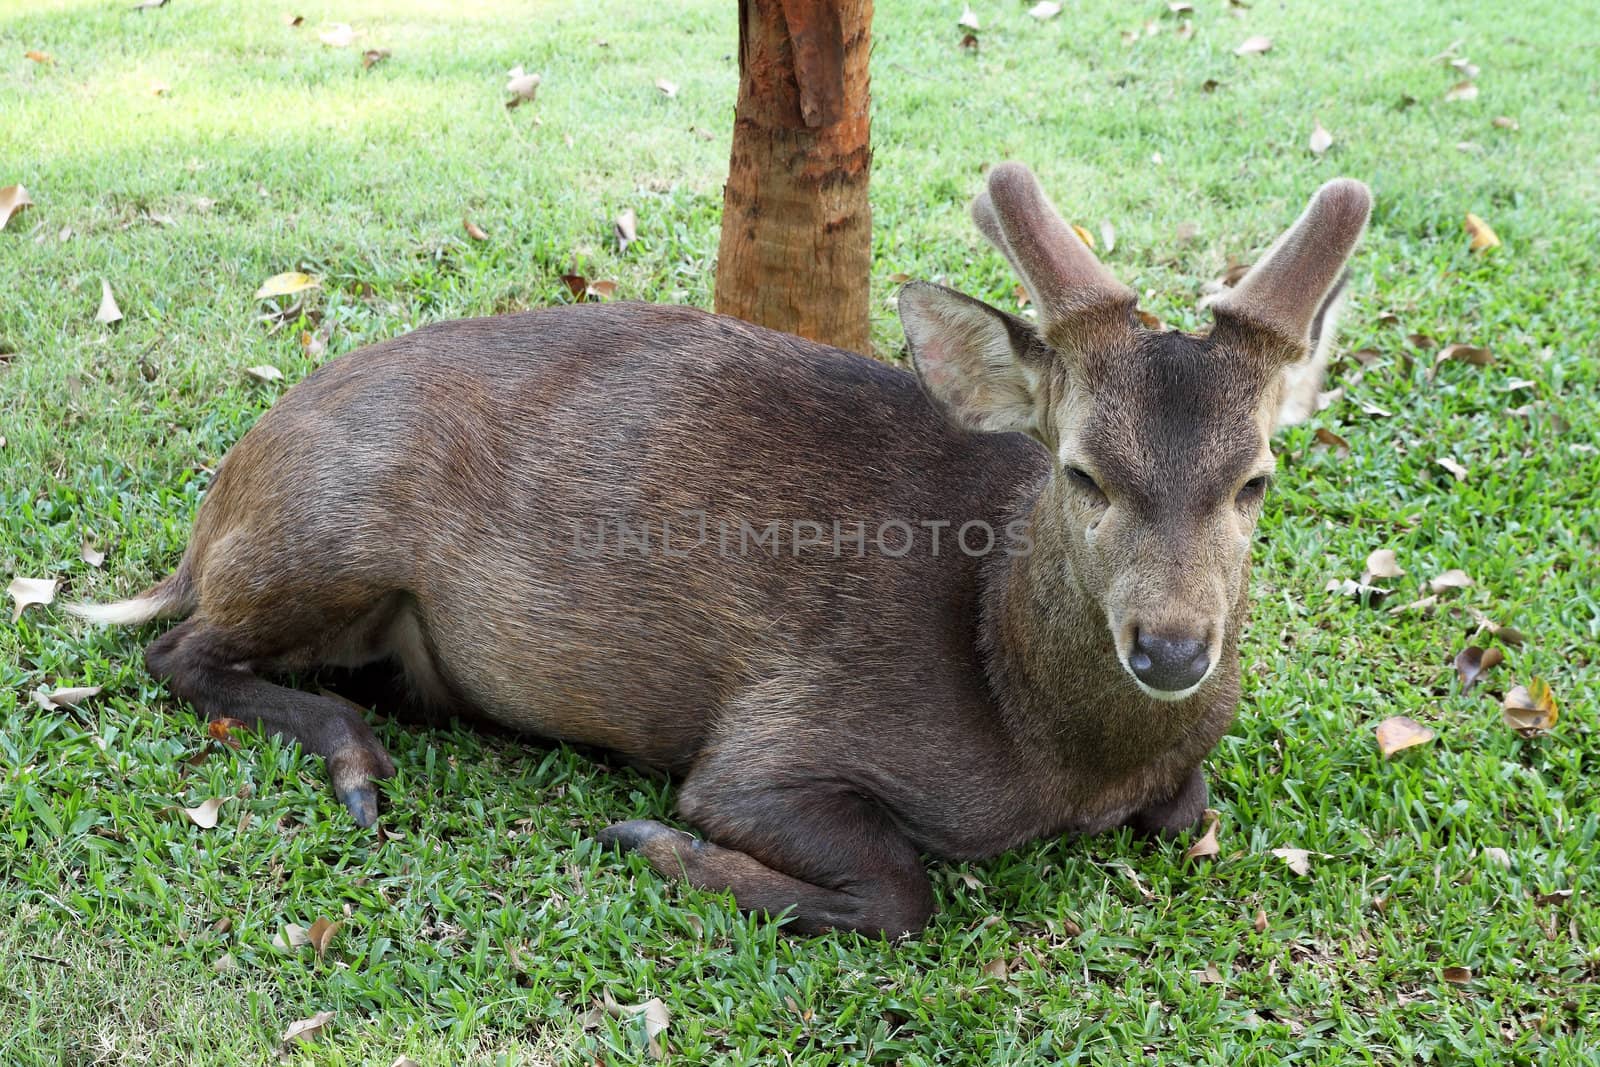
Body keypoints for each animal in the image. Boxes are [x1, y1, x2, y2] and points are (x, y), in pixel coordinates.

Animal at [72, 164, 1376, 934]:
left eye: (1254, 478)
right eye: (1081, 472)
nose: (1171, 646)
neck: (1038, 735)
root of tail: (213, 509)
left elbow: (1187, 806)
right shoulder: (774, 739)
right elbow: (899, 888)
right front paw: (658, 840)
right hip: (327, 527)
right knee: (176, 651)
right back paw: (354, 759)